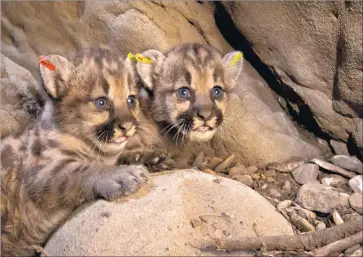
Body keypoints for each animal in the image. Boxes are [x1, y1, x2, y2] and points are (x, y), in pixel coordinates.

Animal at [0, 48, 151, 256]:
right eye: (101, 102)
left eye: (131, 100)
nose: (127, 126)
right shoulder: (40, 174)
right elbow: (82, 170)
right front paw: (122, 175)